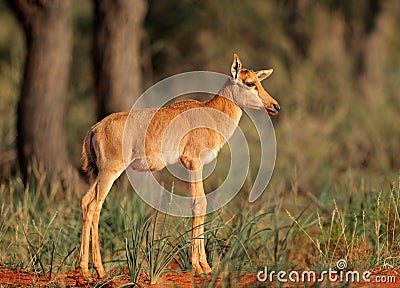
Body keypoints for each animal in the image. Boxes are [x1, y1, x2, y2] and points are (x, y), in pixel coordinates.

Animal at [77, 53, 278, 278]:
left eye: (259, 80)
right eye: (250, 83)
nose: (275, 106)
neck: (210, 112)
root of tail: (95, 128)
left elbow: (200, 204)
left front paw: (203, 265)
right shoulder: (193, 162)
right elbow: (199, 203)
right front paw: (201, 266)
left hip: (100, 174)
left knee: (85, 202)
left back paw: (85, 269)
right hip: (110, 173)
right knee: (95, 205)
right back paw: (99, 270)